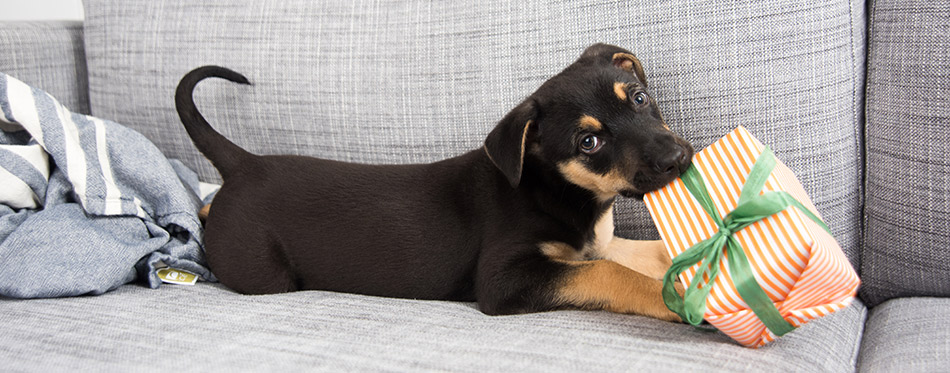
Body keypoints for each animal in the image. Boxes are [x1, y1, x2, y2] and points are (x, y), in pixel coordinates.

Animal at [178, 43, 696, 322]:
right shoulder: (503, 279)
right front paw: (675, 298)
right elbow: (609, 273)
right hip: (264, 273)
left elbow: (644, 253)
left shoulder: (597, 243)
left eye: (639, 98)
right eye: (588, 142)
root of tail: (246, 165)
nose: (678, 159)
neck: (561, 191)